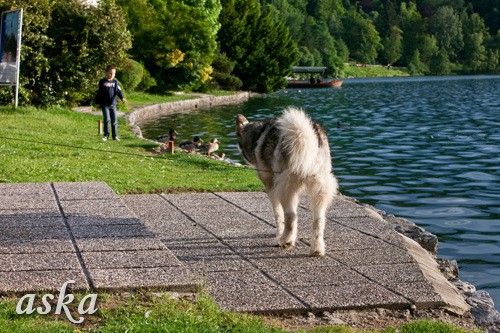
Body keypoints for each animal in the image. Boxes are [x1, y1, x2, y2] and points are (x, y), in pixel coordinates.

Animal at [235, 107, 338, 255]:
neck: (256, 135)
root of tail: (305, 134)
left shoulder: (271, 187)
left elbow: (279, 216)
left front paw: (279, 237)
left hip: (285, 187)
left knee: (291, 216)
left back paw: (285, 240)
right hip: (319, 187)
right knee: (318, 220)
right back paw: (317, 249)